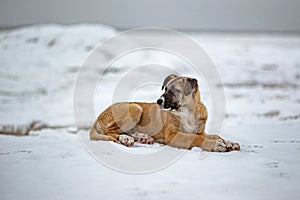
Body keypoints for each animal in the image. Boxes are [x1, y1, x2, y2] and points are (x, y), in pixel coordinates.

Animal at [90, 74, 240, 152]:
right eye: (166, 88)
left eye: (175, 90)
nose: (158, 101)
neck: (188, 112)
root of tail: (98, 118)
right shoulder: (172, 135)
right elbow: (196, 139)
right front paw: (216, 145)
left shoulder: (200, 132)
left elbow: (216, 135)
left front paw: (229, 143)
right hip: (135, 107)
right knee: (110, 132)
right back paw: (126, 139)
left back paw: (143, 138)